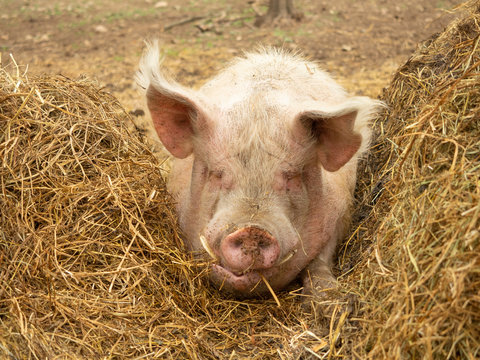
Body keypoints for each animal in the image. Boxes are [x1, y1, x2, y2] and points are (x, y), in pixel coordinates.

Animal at [137, 43, 380, 300]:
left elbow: (320, 261)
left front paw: (328, 298)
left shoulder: (340, 212)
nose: (251, 231)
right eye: (216, 173)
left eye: (292, 177)